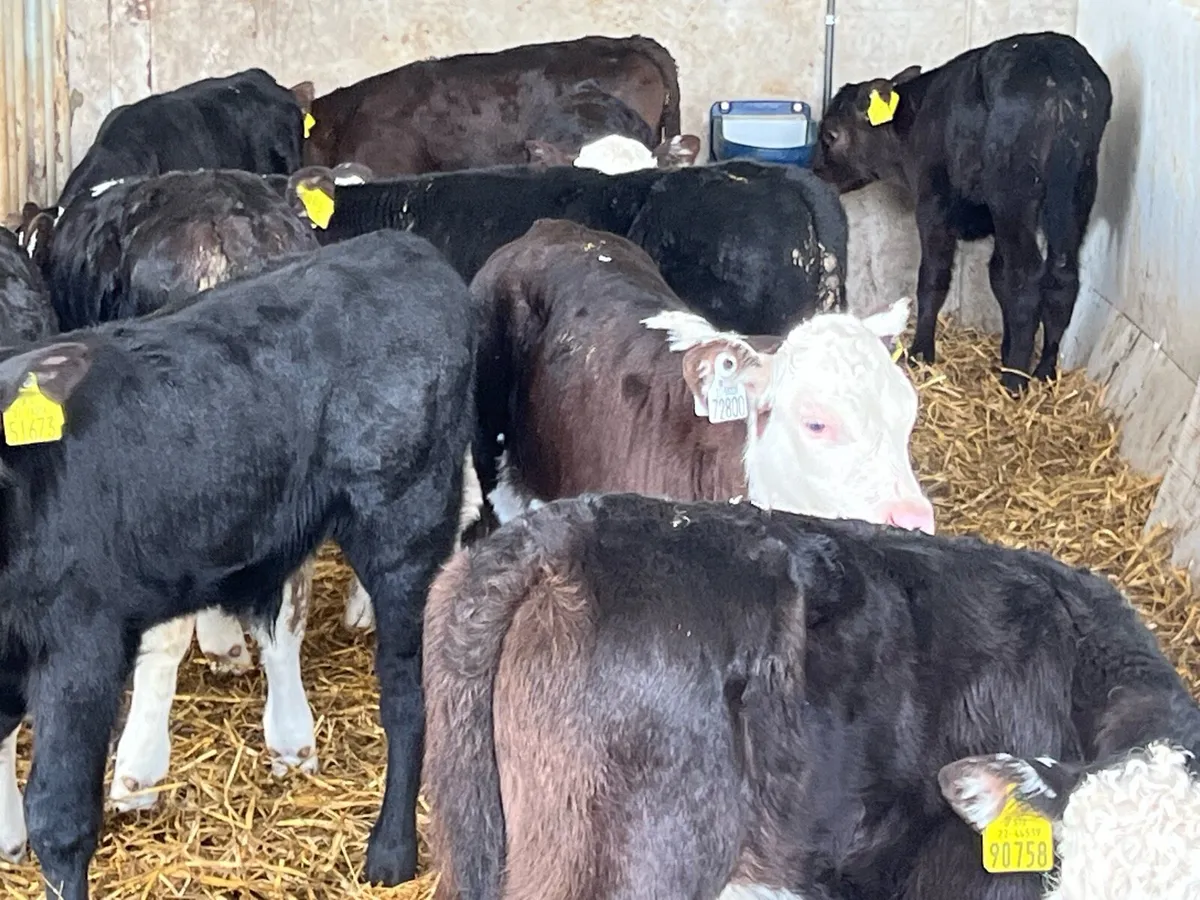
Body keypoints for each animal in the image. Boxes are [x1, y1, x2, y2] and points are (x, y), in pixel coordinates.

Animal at [0, 229, 477, 899]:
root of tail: (405, 247)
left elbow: (59, 819)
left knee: (408, 691)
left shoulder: (80, 647)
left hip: (407, 522)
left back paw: (391, 851)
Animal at [811, 32, 1112, 394]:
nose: (815, 170)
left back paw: (1014, 379)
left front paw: (921, 353)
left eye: (830, 135)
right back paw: (1043, 371)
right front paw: (1005, 349)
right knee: (1061, 274)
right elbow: (997, 276)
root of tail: (1056, 68)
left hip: (1014, 193)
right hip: (1077, 191)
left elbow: (934, 277)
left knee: (1026, 275)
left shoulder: (933, 202)